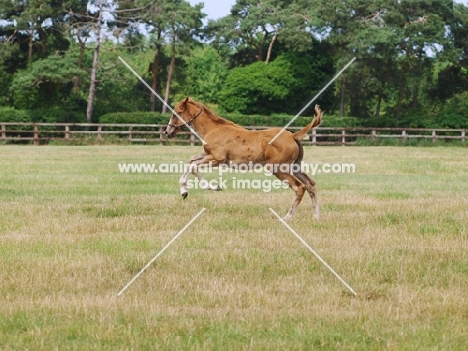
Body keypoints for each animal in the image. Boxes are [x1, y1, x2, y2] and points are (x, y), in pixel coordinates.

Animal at [166, 97, 324, 221]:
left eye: (176, 113)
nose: (168, 132)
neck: (213, 130)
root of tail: (293, 135)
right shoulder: (208, 156)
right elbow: (191, 160)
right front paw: (185, 191)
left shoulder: (217, 159)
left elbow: (193, 166)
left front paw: (207, 188)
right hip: (294, 167)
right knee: (311, 185)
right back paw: (316, 216)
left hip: (278, 168)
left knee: (299, 187)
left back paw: (287, 217)